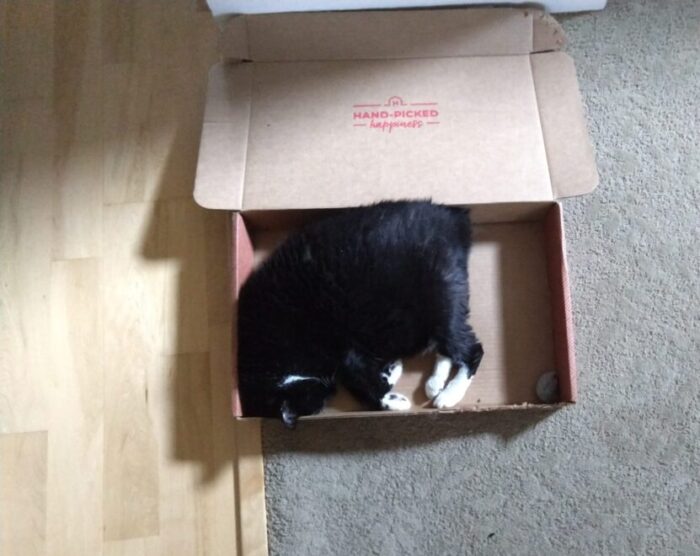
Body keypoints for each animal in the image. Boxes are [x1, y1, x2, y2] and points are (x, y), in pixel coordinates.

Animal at [238, 201, 484, 430]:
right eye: (320, 399)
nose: (332, 390)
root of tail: (455, 219)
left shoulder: (341, 349)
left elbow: (359, 382)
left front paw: (393, 398)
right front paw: (391, 371)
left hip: (442, 299)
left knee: (471, 349)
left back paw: (448, 395)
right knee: (445, 347)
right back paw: (434, 383)